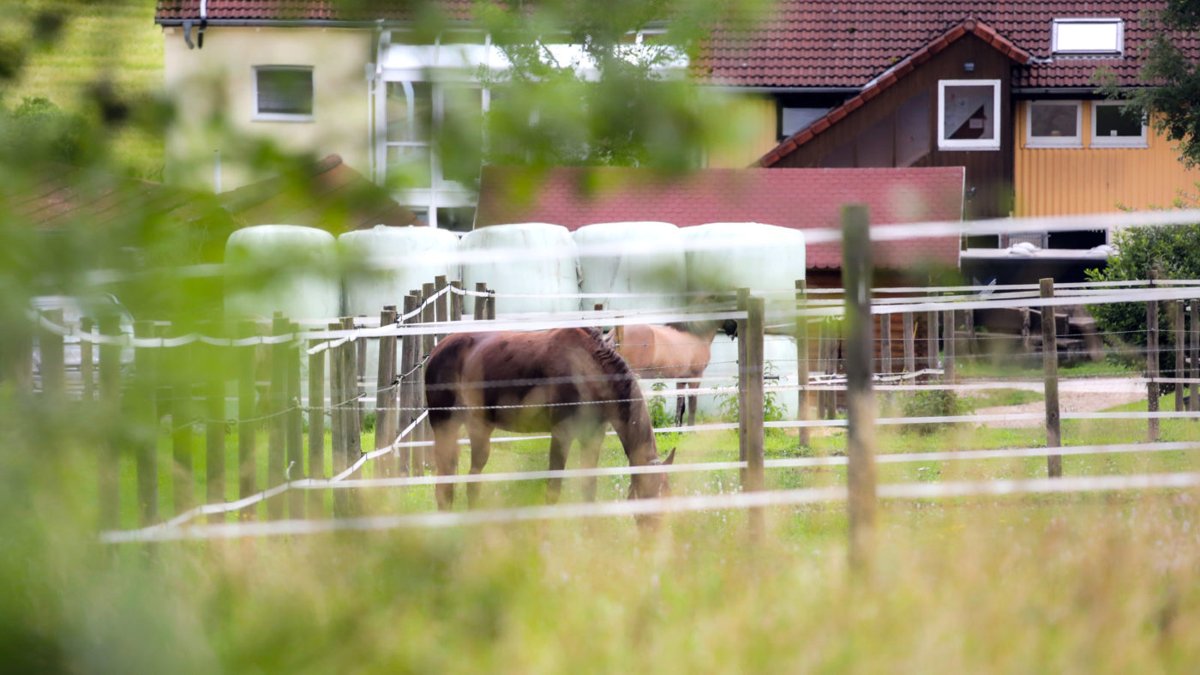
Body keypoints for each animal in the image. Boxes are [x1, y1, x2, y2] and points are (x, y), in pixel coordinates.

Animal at [424, 324, 676, 506]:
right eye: (650, 496)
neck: (585, 369)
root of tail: (437, 349)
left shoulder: (593, 436)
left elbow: (589, 487)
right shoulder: (561, 433)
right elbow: (553, 488)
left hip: (478, 428)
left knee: (468, 480)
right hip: (446, 426)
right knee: (445, 485)